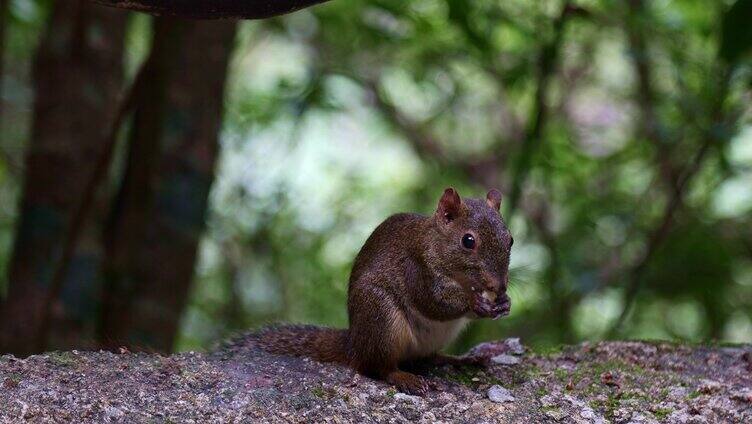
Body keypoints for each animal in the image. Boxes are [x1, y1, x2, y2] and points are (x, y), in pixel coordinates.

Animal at [256, 187, 516, 396]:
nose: (499, 286)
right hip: (381, 319)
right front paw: (475, 303)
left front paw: (504, 303)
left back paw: (462, 359)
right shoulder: (416, 268)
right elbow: (434, 302)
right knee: (379, 368)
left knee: (430, 357)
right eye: (468, 241)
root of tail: (354, 344)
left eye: (511, 239)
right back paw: (405, 378)